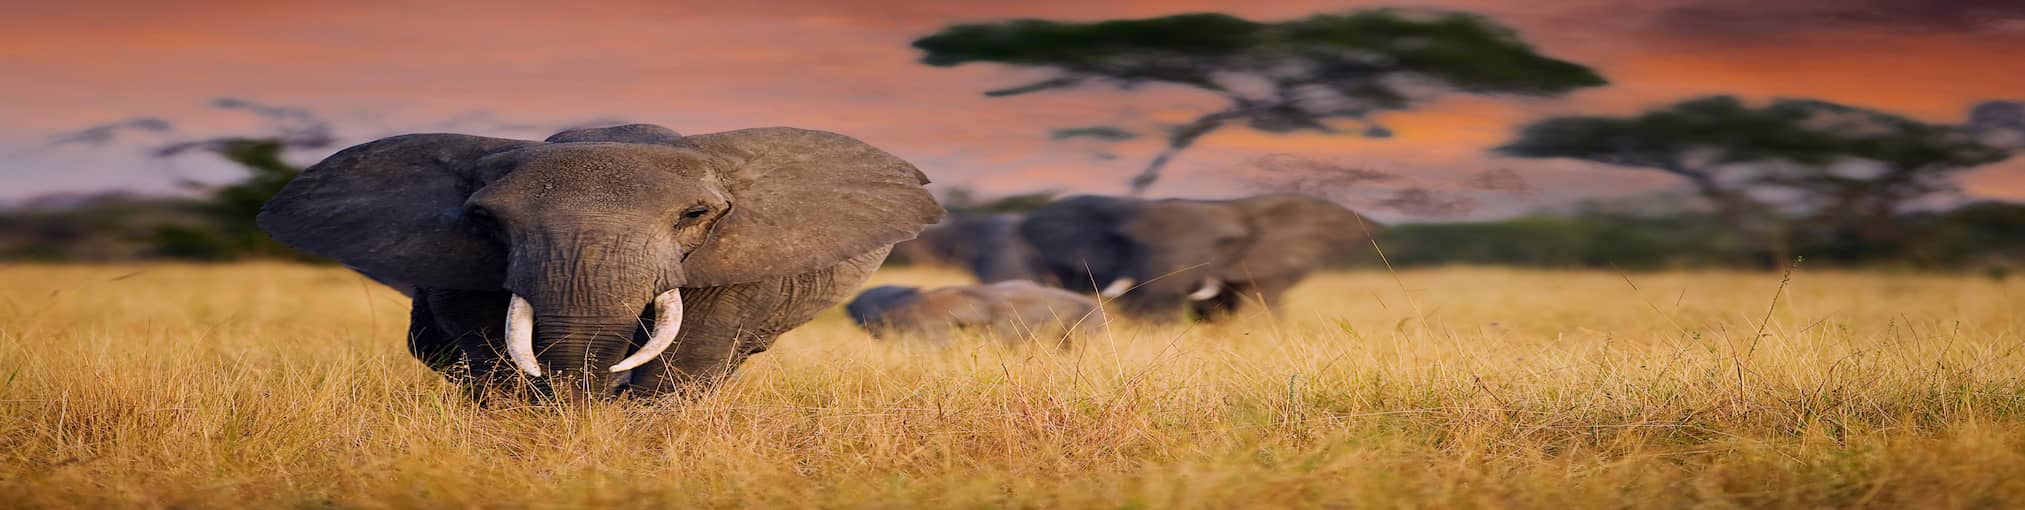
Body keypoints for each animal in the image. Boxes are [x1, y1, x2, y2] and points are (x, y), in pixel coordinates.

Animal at [256, 123, 943, 400]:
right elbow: (490, 351)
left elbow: (687, 360)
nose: (598, 392)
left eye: (695, 215)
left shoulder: (738, 258)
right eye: (487, 220)